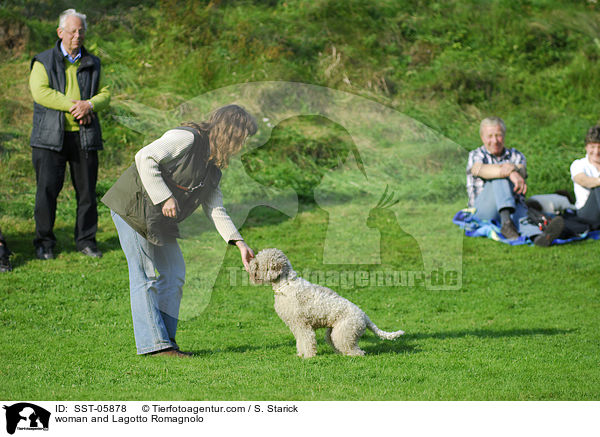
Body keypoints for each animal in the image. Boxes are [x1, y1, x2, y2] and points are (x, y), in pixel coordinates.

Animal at [246, 247, 406, 356]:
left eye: (259, 262)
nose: (250, 262)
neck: (286, 285)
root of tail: (364, 316)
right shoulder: (296, 326)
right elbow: (300, 342)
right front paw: (300, 355)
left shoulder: (303, 325)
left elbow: (307, 340)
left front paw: (308, 357)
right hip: (333, 333)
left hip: (343, 333)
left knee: (357, 351)